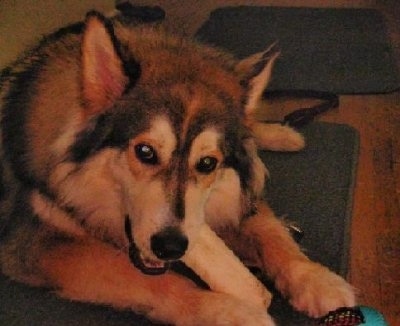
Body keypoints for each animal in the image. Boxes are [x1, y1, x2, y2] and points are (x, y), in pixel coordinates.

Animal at [0, 8, 356, 324]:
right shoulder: (31, 242)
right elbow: (142, 277)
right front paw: (227, 312)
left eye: (208, 163)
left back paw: (283, 134)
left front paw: (315, 279)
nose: (171, 247)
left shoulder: (238, 195)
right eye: (145, 152)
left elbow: (270, 233)